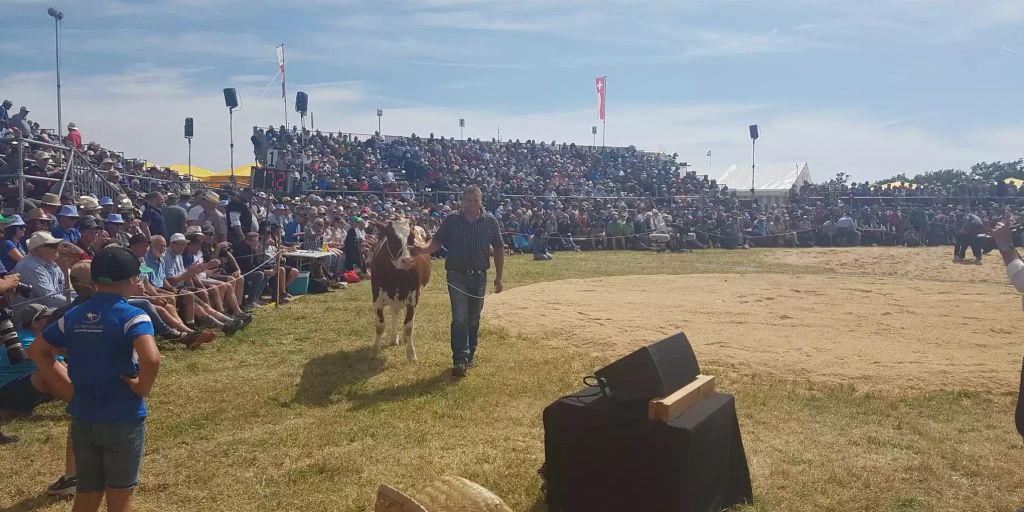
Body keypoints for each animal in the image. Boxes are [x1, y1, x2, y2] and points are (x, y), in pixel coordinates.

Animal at [370, 219, 430, 360]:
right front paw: (375, 350)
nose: (407, 261)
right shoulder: (377, 297)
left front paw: (411, 353)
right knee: (395, 312)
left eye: (412, 238)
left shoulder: (413, 297)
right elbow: (380, 326)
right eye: (392, 238)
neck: (396, 277)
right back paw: (393, 338)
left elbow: (408, 326)